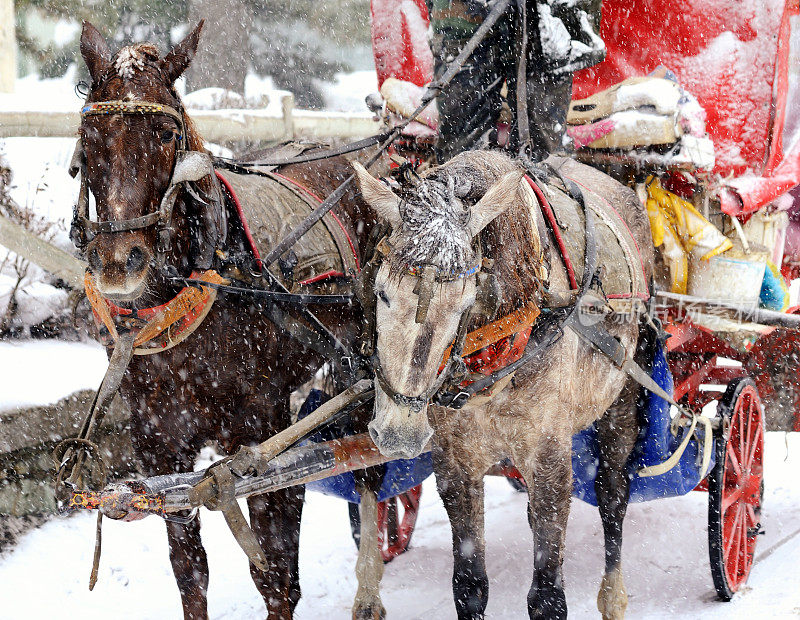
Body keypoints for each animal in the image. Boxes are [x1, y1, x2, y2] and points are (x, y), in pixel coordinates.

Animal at [78, 20, 384, 620]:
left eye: (166, 135)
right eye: (91, 135)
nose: (119, 262)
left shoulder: (265, 437)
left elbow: (277, 577)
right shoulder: (161, 448)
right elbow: (191, 573)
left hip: (364, 367)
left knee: (368, 465)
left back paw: (368, 588)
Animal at [354, 151, 652, 620]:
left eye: (463, 302)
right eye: (381, 291)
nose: (400, 435)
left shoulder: (549, 456)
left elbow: (547, 597)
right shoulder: (455, 460)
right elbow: (469, 584)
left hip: (622, 396)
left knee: (612, 492)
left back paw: (613, 595)